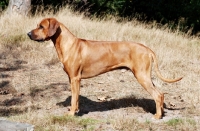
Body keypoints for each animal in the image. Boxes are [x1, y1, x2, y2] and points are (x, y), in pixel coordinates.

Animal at [27, 17, 183, 119]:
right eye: (37, 25)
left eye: (41, 27)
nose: (28, 34)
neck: (67, 44)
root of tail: (147, 49)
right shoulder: (73, 79)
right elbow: (76, 98)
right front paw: (76, 110)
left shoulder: (75, 78)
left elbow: (73, 98)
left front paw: (71, 114)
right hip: (145, 76)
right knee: (161, 93)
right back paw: (161, 113)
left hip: (141, 76)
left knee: (157, 95)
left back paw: (157, 116)